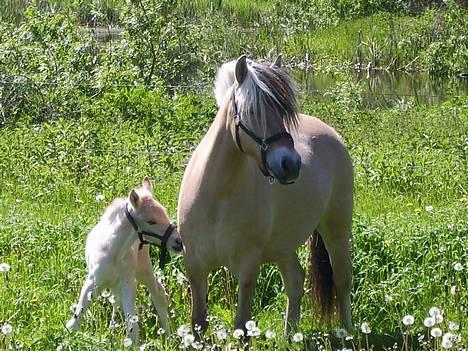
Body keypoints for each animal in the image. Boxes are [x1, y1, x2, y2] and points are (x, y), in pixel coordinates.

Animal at [66, 177, 183, 348]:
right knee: (116, 300)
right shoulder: (93, 281)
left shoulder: (128, 284)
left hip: (143, 269)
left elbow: (132, 326)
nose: (178, 242)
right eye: (151, 221)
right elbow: (77, 316)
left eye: (165, 213)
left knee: (158, 293)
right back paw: (112, 326)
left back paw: (168, 336)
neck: (114, 251)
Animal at [177, 55, 352, 336]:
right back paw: (290, 335)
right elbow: (198, 323)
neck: (217, 199)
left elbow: (242, 327)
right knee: (295, 280)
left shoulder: (248, 266)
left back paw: (349, 332)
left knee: (342, 277)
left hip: (337, 227)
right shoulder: (195, 265)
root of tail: (331, 134)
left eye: (284, 113)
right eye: (251, 112)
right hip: (284, 245)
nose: (291, 164)